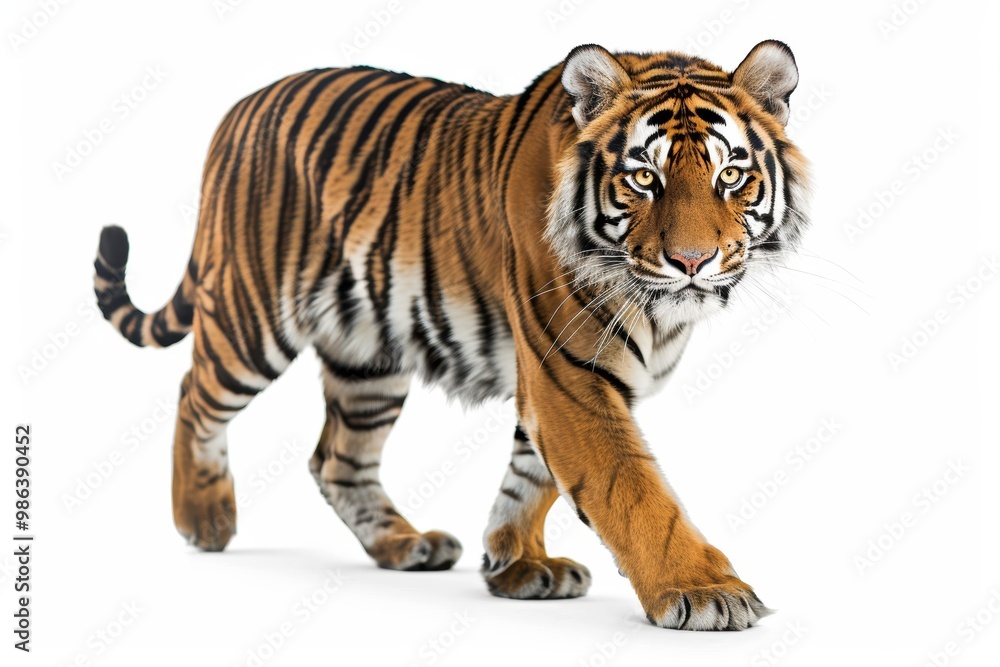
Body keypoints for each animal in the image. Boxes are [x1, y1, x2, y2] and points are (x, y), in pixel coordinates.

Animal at [93, 40, 809, 631]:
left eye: (730, 176)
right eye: (642, 178)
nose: (692, 261)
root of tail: (239, 107)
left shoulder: (564, 382)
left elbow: (530, 475)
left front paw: (514, 564)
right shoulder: (569, 373)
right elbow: (630, 489)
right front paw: (706, 591)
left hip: (368, 358)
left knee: (337, 459)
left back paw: (404, 545)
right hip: (253, 315)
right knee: (194, 393)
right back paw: (205, 519)